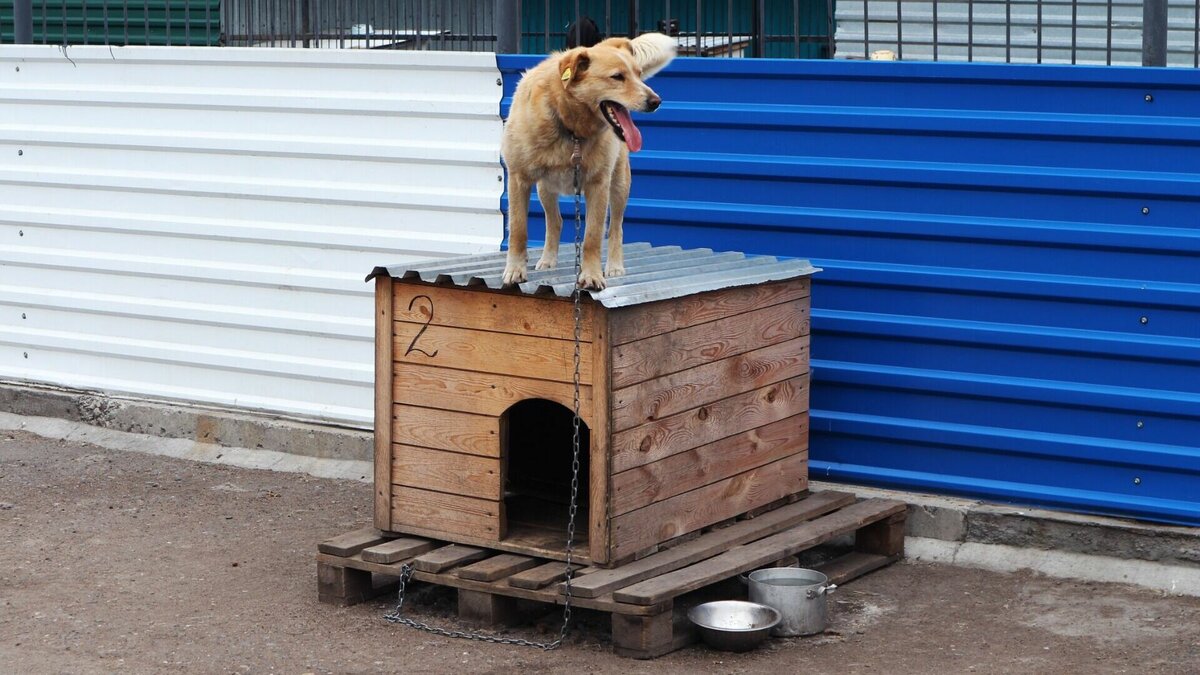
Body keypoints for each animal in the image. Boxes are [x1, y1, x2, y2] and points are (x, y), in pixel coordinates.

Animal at [501, 32, 681, 289]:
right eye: (617, 77)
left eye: (638, 74)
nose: (656, 101)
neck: (570, 129)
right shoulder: (518, 179)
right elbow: (518, 230)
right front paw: (515, 271)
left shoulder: (598, 184)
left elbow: (592, 237)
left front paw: (591, 275)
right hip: (546, 188)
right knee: (555, 221)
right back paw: (548, 260)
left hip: (620, 185)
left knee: (616, 228)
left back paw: (614, 266)